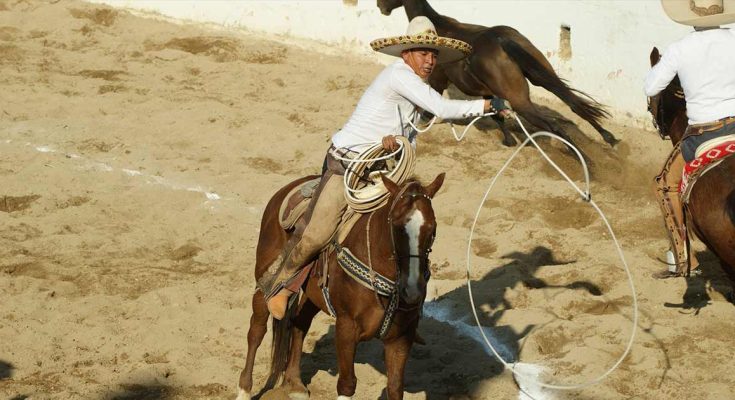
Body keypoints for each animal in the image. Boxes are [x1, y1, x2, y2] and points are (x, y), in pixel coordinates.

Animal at [239, 173, 446, 400]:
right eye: (397, 227)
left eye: (433, 230)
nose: (412, 291)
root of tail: (287, 188)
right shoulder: (346, 327)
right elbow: (347, 384)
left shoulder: (402, 337)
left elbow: (395, 387)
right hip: (264, 283)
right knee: (256, 331)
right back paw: (244, 390)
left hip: (313, 294)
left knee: (299, 322)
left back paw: (295, 384)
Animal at [376, 0, 620, 148]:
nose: (380, 6)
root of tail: (501, 40)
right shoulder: (488, 92)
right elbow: (495, 114)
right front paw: (509, 140)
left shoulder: (437, 79)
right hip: (541, 76)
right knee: (574, 103)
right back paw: (609, 139)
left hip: (520, 99)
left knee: (554, 126)